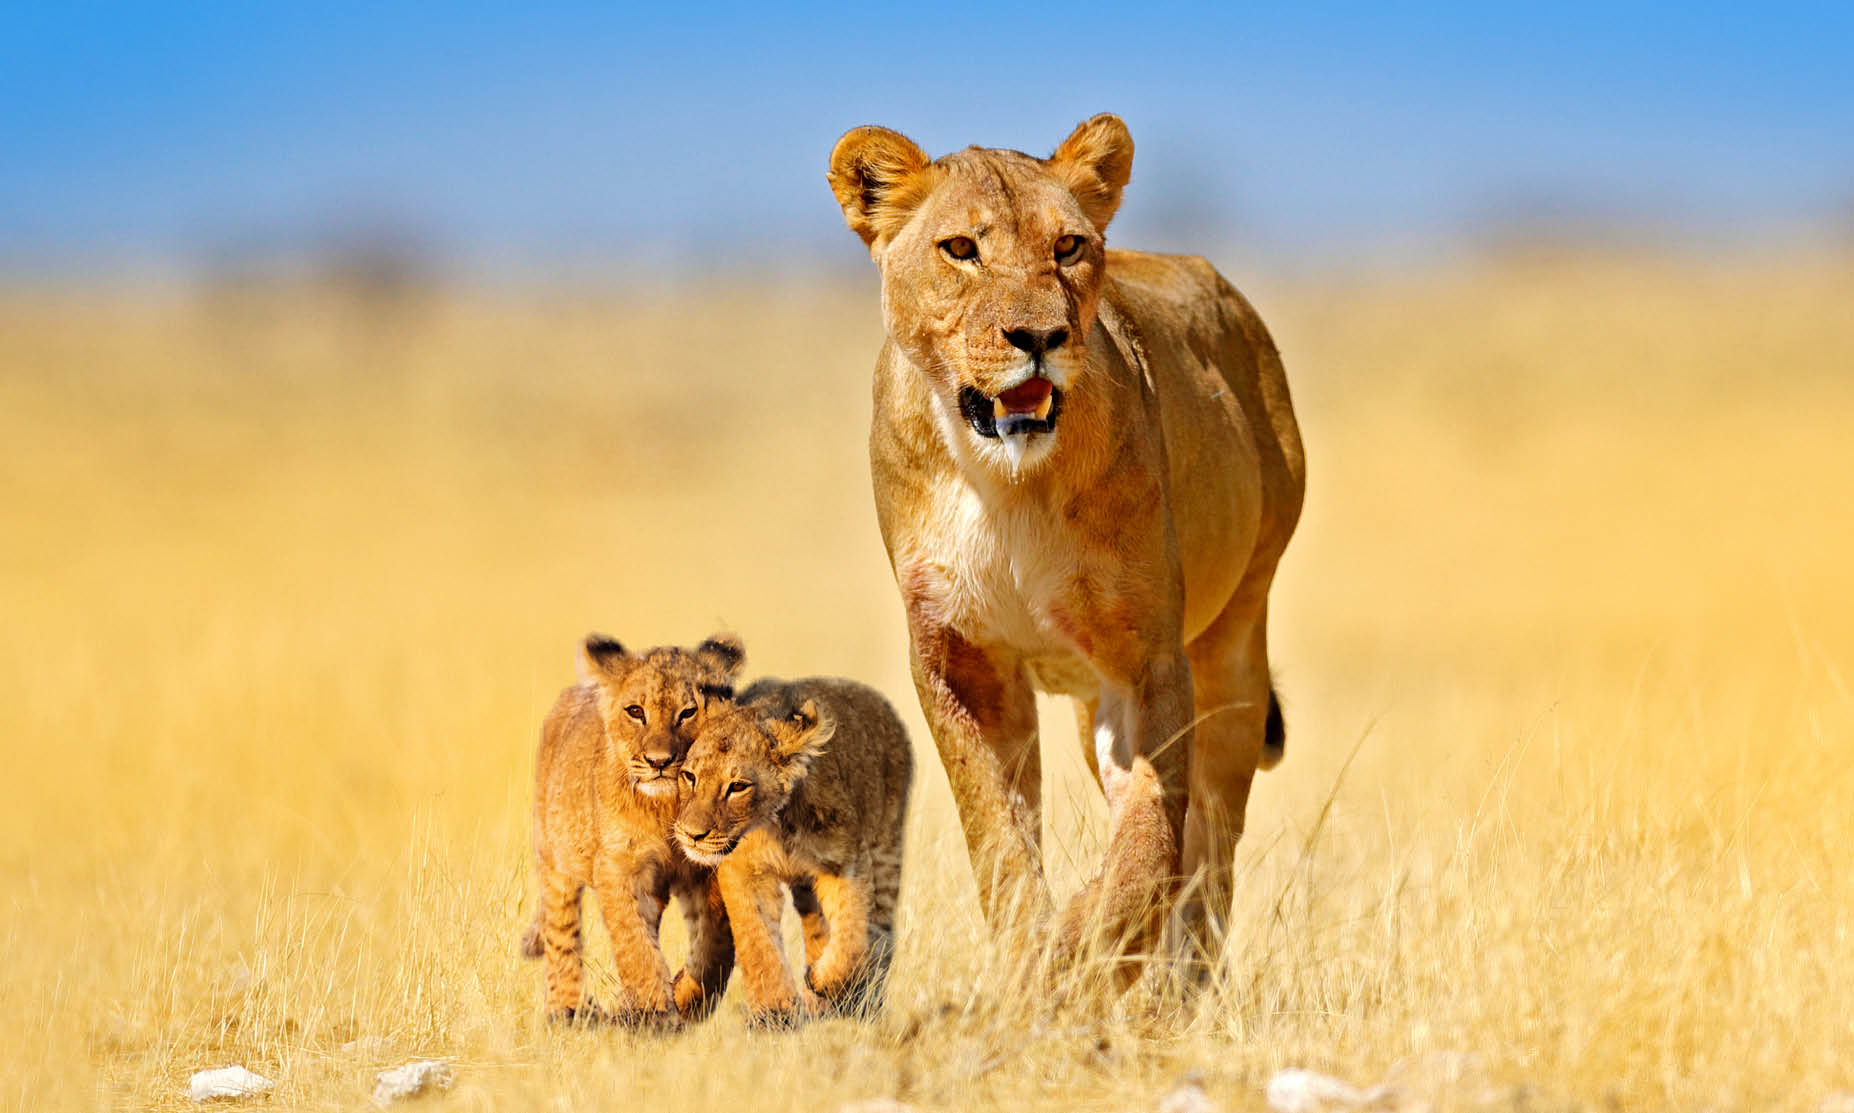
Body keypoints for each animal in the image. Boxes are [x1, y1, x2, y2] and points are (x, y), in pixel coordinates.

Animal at [523, 632, 745, 1024]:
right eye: (636, 712)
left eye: (688, 712)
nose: (659, 761)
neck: (666, 807)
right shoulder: (617, 866)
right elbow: (633, 942)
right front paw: (654, 1008)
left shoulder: (709, 863)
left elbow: (717, 941)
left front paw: (686, 999)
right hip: (553, 856)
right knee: (560, 933)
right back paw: (566, 1010)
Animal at [673, 677, 913, 1023]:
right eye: (689, 776)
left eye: (737, 787)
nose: (692, 835)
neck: (778, 822)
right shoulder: (744, 871)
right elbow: (758, 943)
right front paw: (775, 1011)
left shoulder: (845, 863)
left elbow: (852, 936)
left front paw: (823, 980)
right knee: (816, 928)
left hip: (887, 851)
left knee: (880, 933)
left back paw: (859, 1003)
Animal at [826, 114, 1305, 977]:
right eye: (960, 248)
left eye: (1069, 246)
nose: (1040, 336)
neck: (1005, 482)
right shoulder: (959, 656)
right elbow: (998, 833)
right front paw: (1035, 960)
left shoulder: (1149, 654)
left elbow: (1151, 836)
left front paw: (1086, 947)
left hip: (1234, 641)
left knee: (1210, 848)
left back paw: (1178, 974)